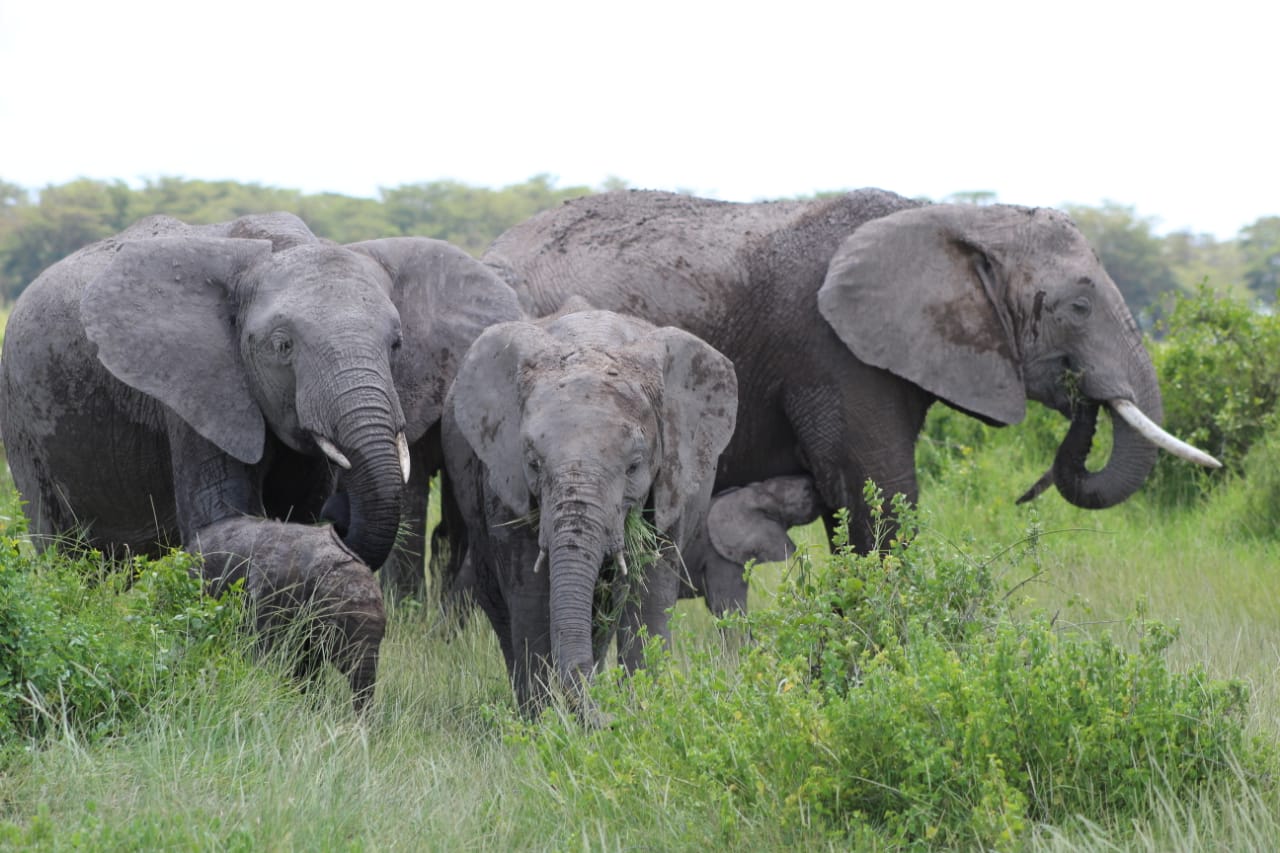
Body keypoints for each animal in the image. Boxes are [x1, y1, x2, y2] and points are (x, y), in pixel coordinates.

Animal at [1, 211, 519, 701]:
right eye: (282, 346)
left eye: (396, 344)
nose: (341, 512)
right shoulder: (195, 385)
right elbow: (223, 519)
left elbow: (297, 510)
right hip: (23, 421)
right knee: (62, 550)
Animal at [442, 306, 737, 712]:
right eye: (532, 463)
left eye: (634, 466)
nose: (604, 716)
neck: (591, 344)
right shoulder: (503, 480)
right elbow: (529, 590)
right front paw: (547, 719)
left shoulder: (671, 481)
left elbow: (650, 590)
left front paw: (639, 711)